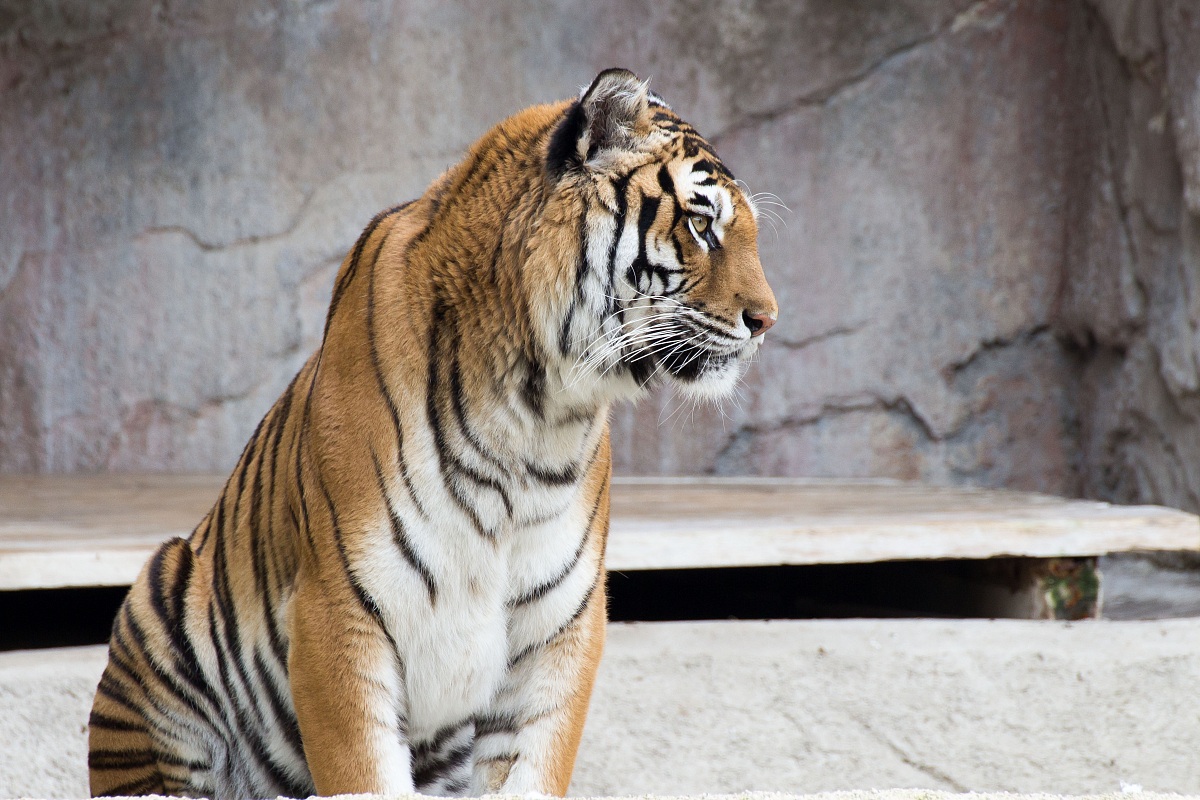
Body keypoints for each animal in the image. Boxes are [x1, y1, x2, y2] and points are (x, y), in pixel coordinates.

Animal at [87, 68, 778, 800]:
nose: (768, 320)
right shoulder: (340, 613)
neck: (536, 411)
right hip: (160, 596)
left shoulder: (559, 629)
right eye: (702, 225)